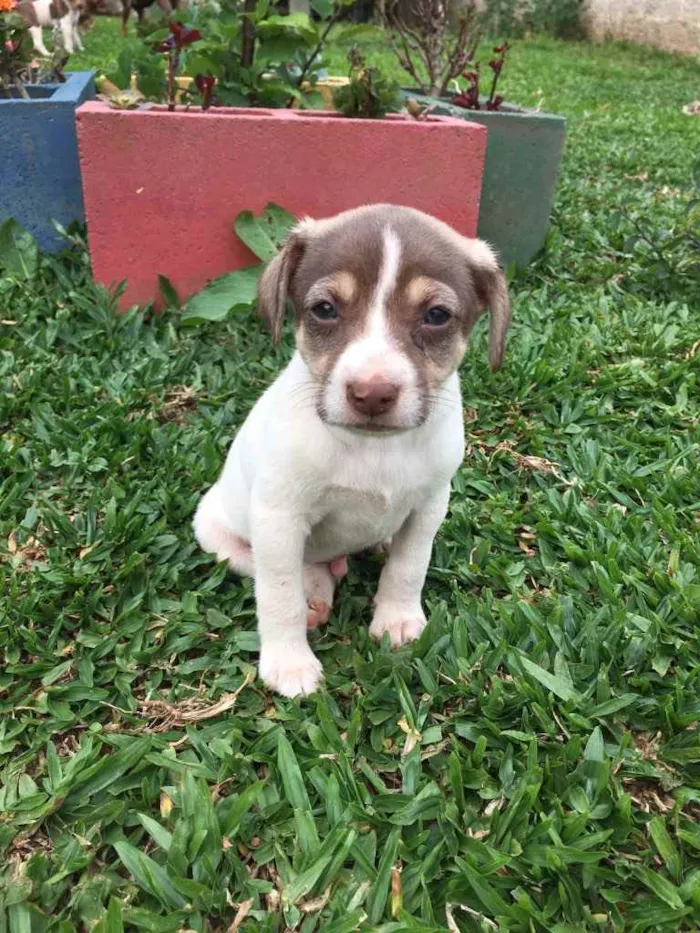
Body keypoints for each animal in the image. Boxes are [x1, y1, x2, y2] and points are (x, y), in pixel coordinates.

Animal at [194, 206, 512, 700]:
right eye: (325, 309)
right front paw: (289, 663)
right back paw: (314, 591)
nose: (372, 394)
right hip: (218, 533)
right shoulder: (278, 517)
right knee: (290, 568)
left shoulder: (430, 504)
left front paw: (398, 620)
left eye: (437, 315)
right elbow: (279, 593)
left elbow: (408, 566)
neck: (371, 448)